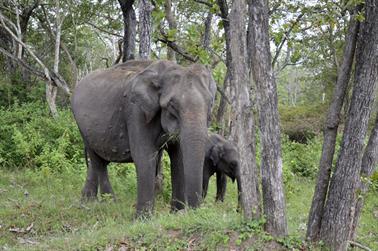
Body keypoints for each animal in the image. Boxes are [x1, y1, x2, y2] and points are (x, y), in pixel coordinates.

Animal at [71, 60, 216, 216]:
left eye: (210, 103)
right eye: (172, 105)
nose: (191, 211)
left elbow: (179, 157)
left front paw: (176, 214)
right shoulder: (136, 111)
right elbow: (143, 155)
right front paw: (143, 218)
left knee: (97, 161)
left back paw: (90, 202)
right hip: (82, 127)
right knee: (97, 160)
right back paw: (106, 203)